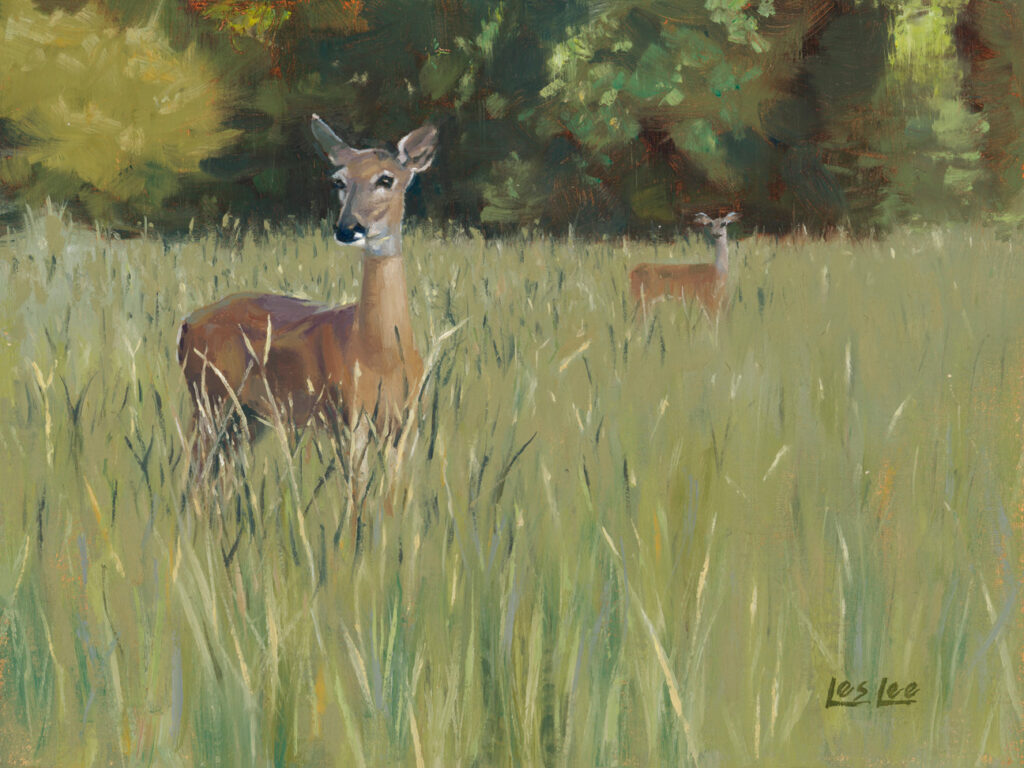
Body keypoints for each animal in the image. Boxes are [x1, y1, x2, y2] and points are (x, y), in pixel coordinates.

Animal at [177, 115, 438, 498]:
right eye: (339, 181)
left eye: (386, 179)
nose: (347, 228)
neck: (381, 351)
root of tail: (186, 324)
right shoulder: (348, 418)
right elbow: (357, 498)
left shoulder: (403, 425)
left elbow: (392, 497)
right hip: (209, 399)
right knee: (194, 476)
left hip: (246, 418)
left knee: (217, 478)